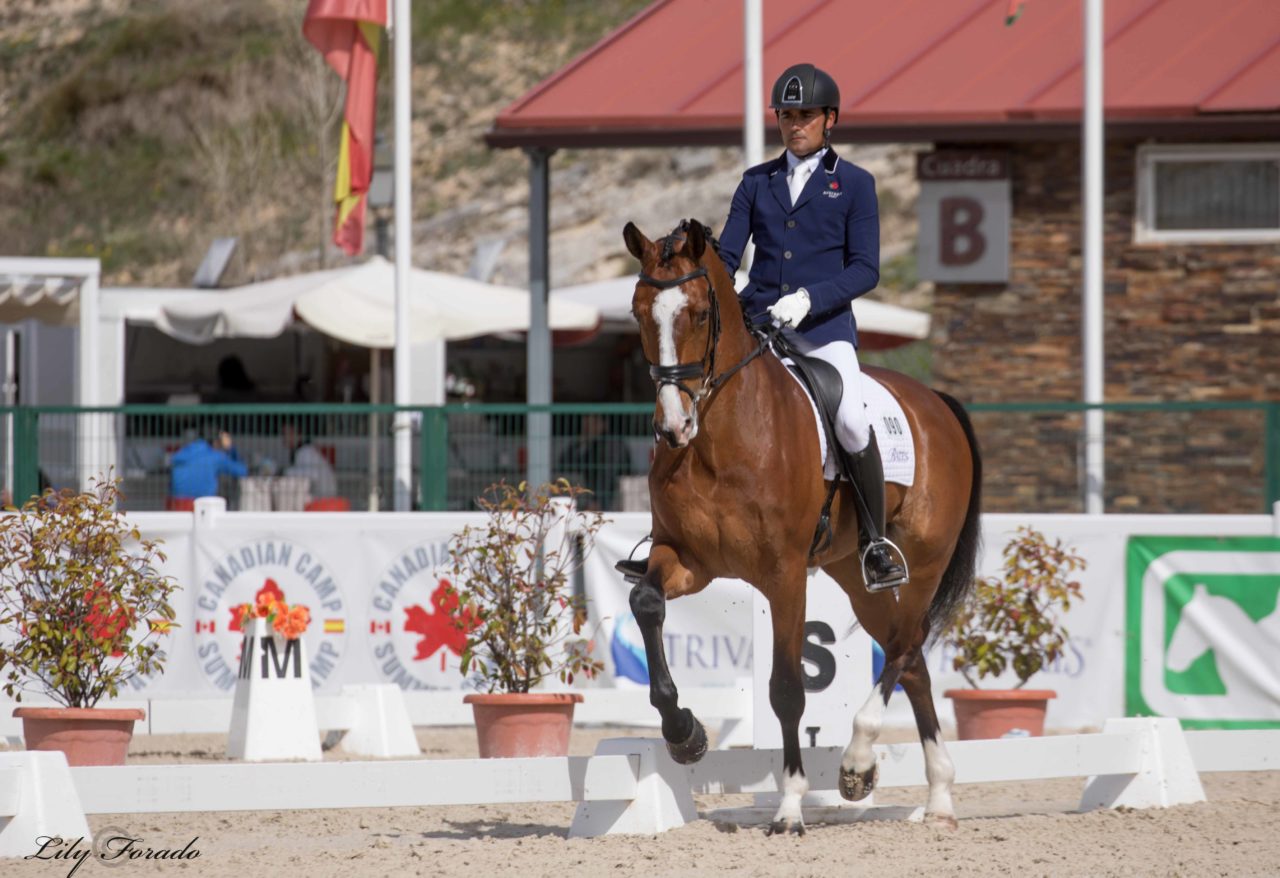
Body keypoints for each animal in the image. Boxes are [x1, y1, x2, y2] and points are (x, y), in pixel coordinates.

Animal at [624, 218, 983, 834]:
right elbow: (646, 604)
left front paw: (790, 807)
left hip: (923, 563)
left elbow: (788, 689)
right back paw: (937, 796)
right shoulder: (687, 559)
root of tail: (935, 402)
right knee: (909, 657)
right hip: (852, 574)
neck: (720, 438)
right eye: (638, 312)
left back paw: (858, 763)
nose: (673, 427)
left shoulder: (785, 574)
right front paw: (684, 733)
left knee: (906, 644)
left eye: (700, 313)